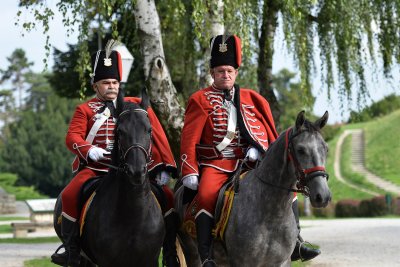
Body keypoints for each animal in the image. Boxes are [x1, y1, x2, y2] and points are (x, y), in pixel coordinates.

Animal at [178, 111, 332, 267]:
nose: (323, 196)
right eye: (301, 150)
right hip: (192, 253)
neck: (271, 214)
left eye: (326, 149)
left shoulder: (282, 262)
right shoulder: (243, 262)